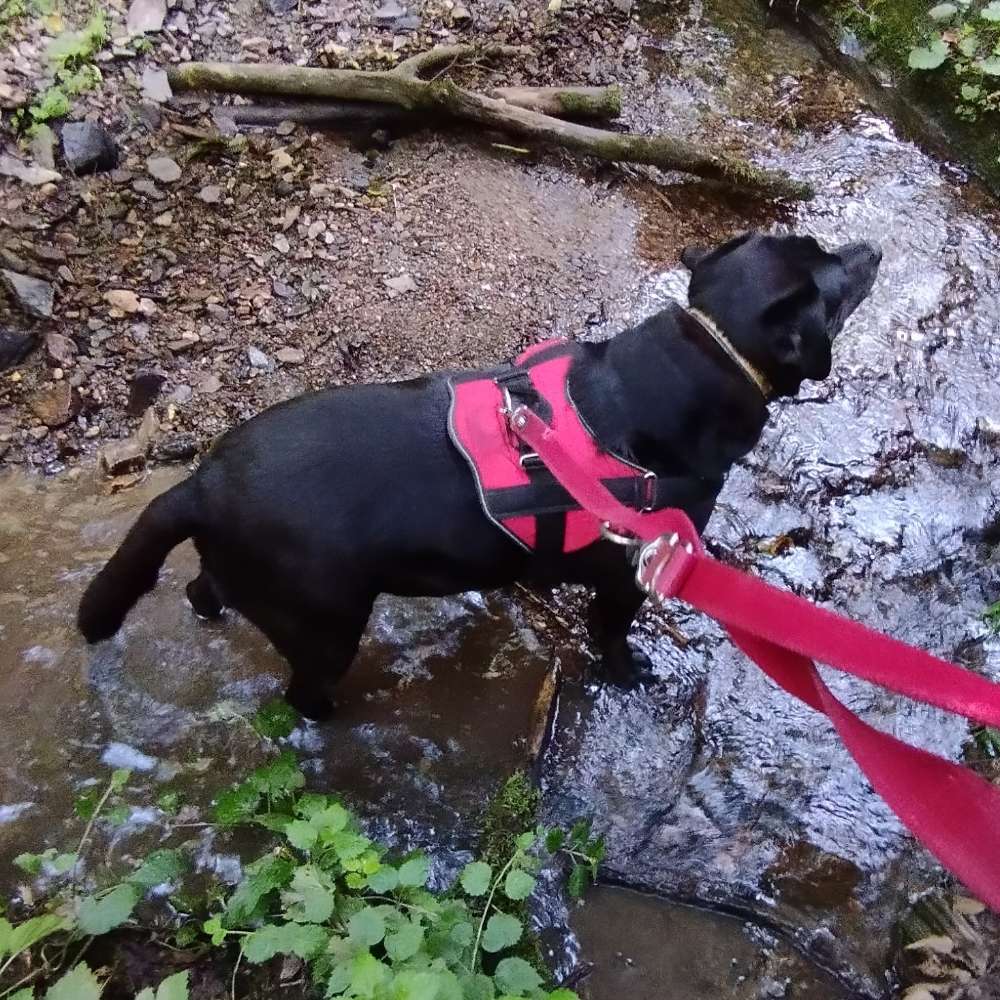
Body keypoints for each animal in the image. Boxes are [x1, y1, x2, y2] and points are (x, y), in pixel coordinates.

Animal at [80, 234, 876, 720]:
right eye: (831, 280)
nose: (868, 248)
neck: (701, 356)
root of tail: (203, 484)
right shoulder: (629, 576)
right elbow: (614, 638)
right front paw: (629, 674)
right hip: (326, 625)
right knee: (303, 695)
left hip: (258, 584)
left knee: (203, 590)